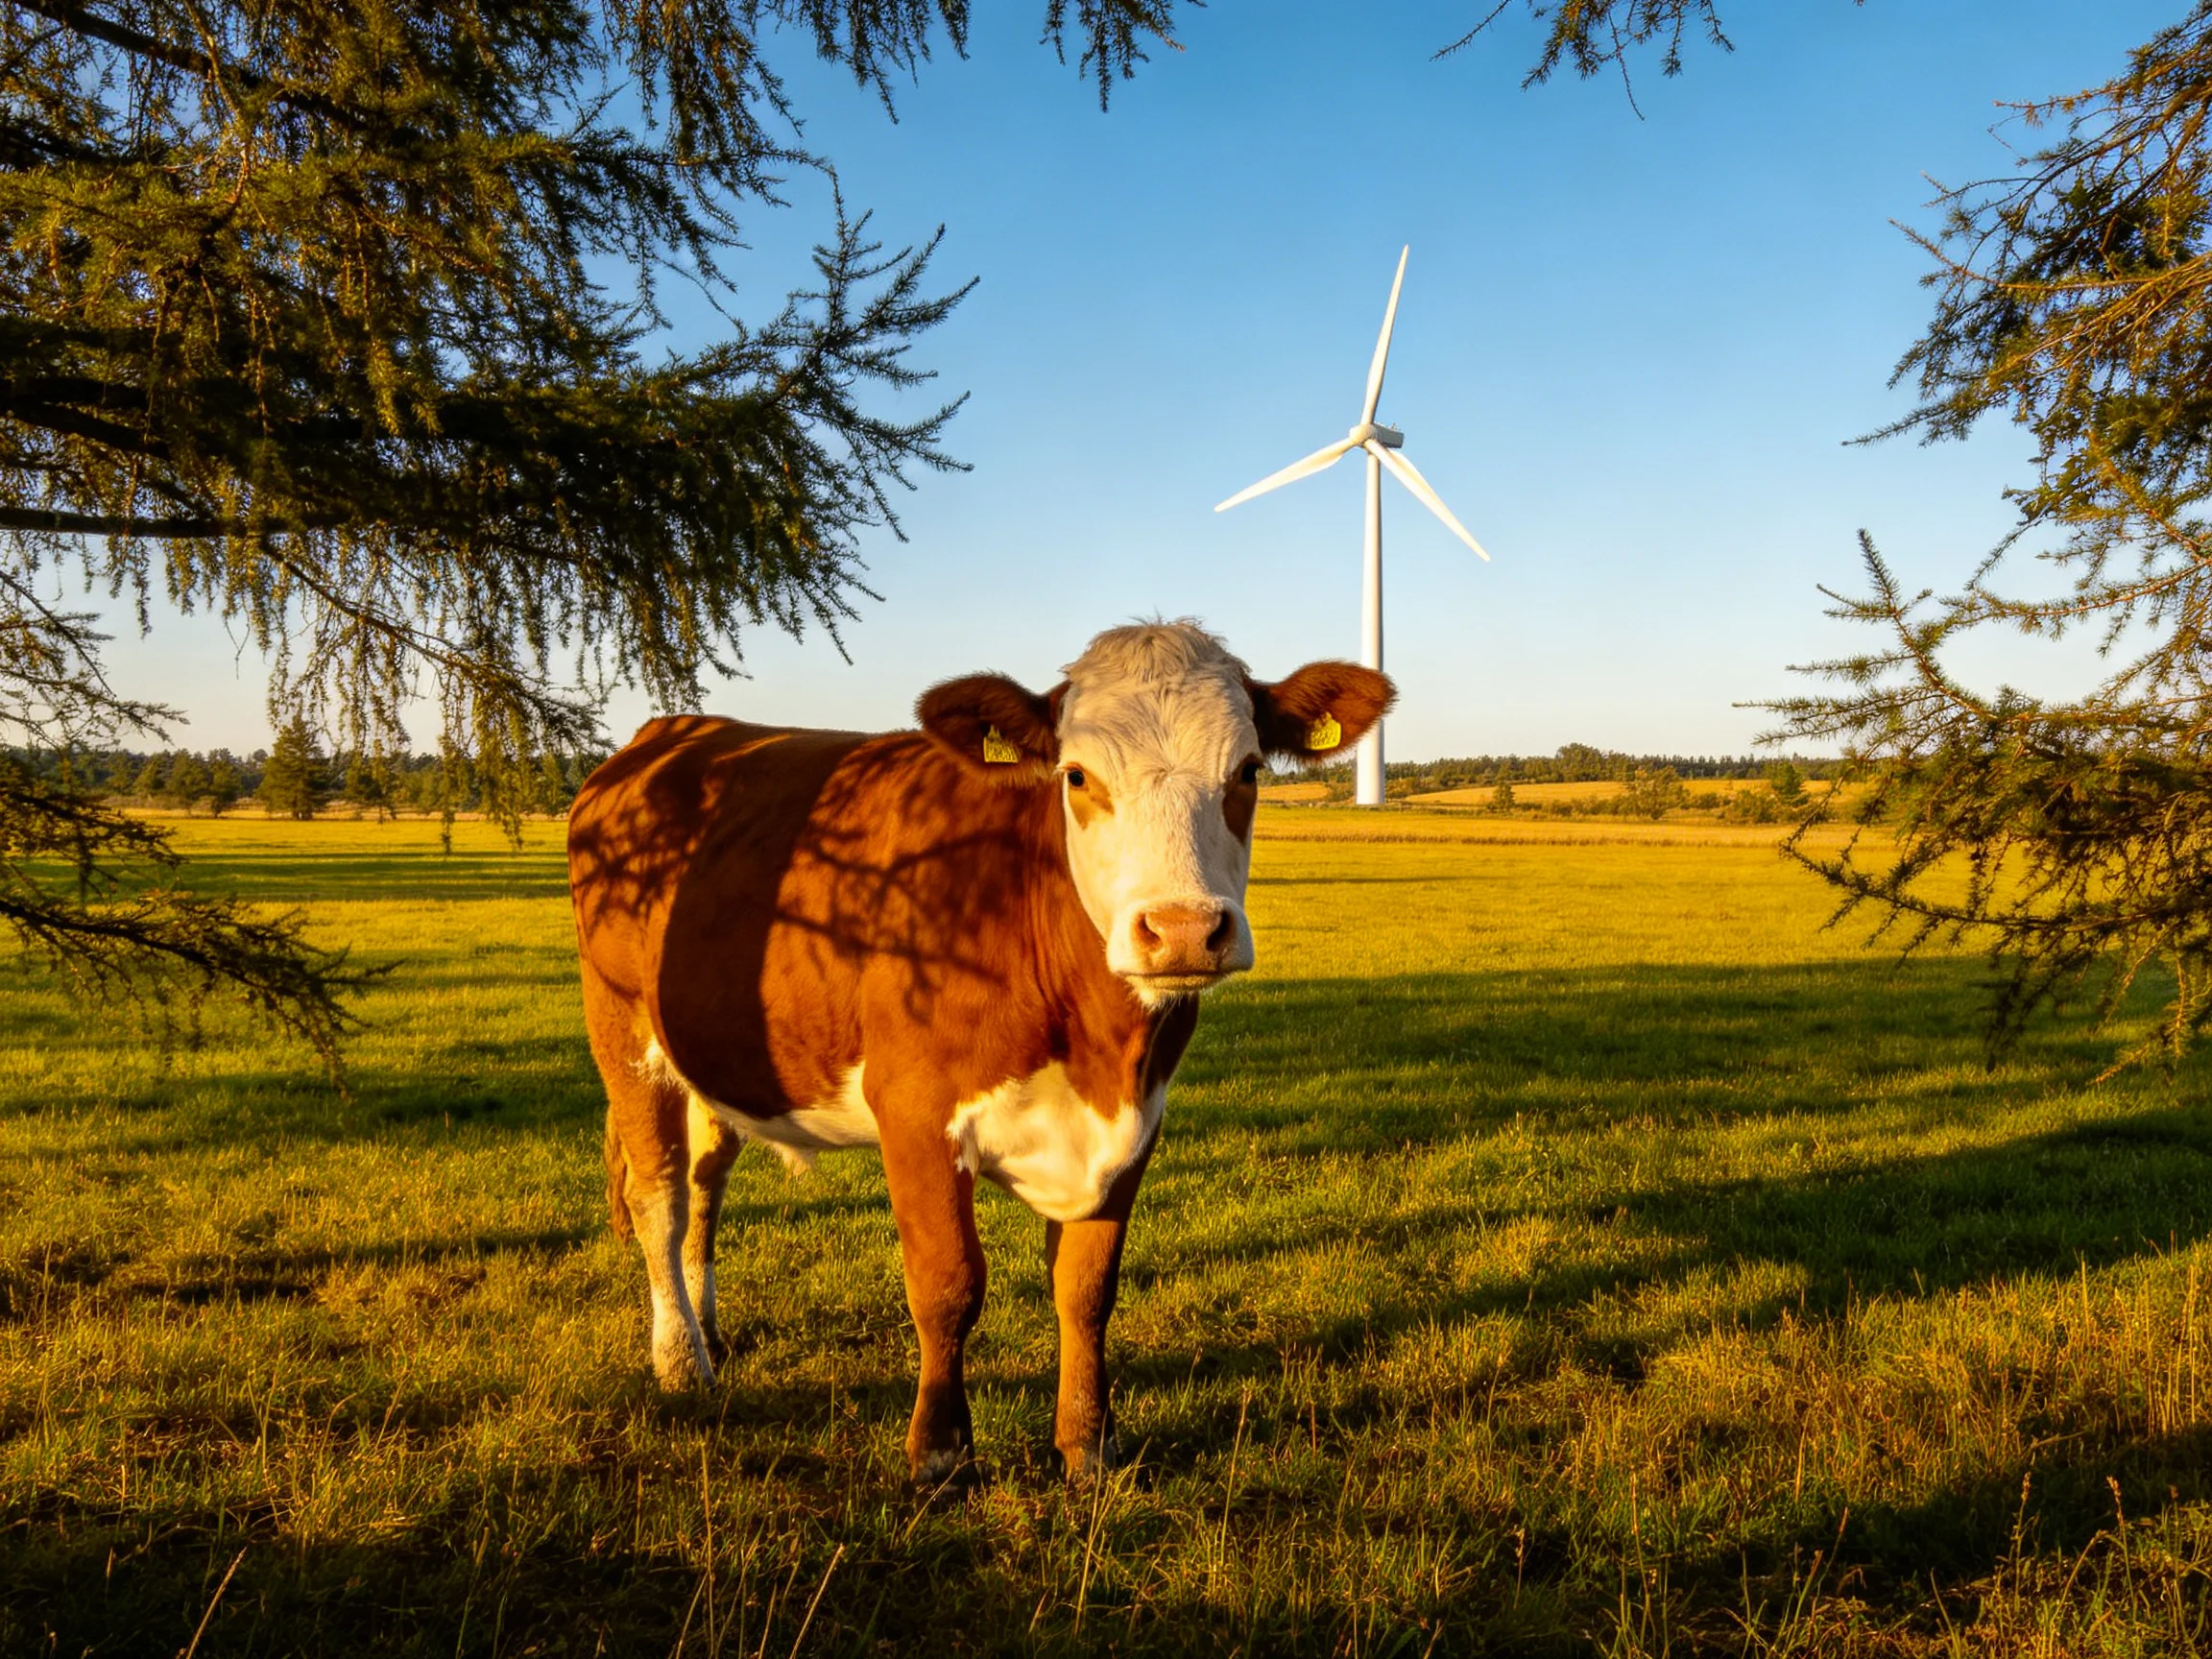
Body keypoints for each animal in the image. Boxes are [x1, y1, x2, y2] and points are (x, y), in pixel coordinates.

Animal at [566, 621, 1392, 1481]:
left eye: (1249, 770)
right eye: (1076, 775)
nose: (1183, 930)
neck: (1096, 1048)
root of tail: (671, 732)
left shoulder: (1137, 1123)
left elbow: (1086, 1288)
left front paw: (1087, 1443)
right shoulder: (914, 1112)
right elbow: (947, 1285)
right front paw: (940, 1452)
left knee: (704, 1183)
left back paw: (708, 1330)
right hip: (622, 1030)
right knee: (658, 1197)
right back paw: (678, 1359)